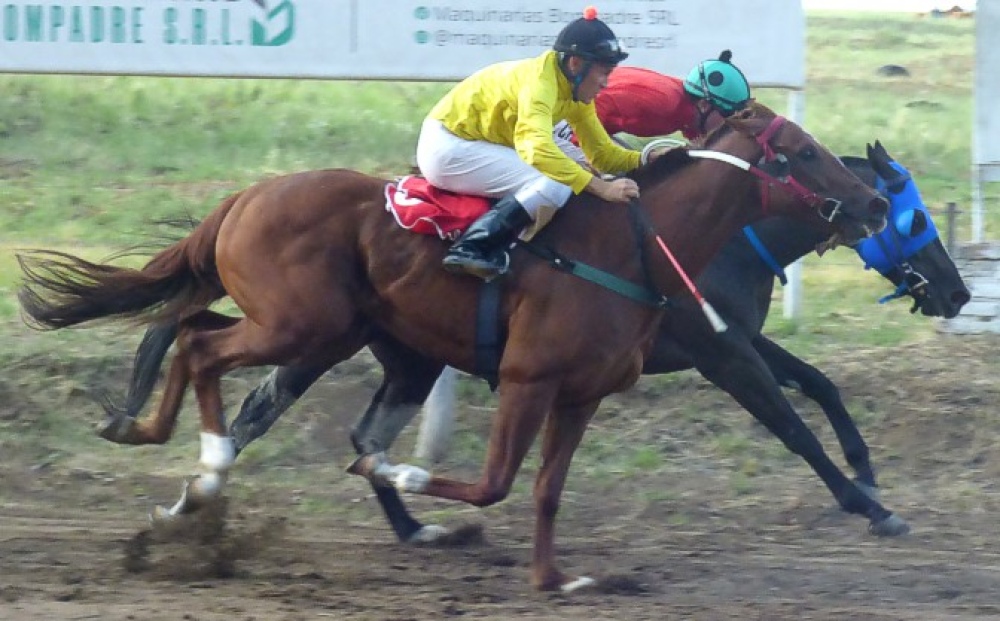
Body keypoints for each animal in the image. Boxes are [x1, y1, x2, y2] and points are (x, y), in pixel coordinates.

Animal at [19, 103, 888, 592]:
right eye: (804, 152)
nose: (875, 202)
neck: (634, 248)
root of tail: (249, 194)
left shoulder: (581, 392)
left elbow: (544, 490)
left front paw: (555, 578)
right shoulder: (531, 376)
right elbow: (493, 482)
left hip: (354, 339)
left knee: (196, 332)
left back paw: (168, 460)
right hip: (302, 325)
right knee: (204, 351)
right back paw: (205, 471)